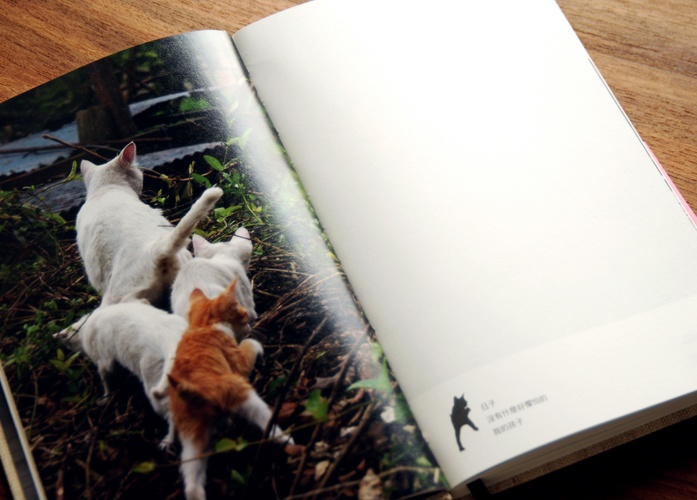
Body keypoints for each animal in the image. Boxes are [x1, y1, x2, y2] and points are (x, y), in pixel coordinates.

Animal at [55, 299, 187, 449]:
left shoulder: (103, 362)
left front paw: (105, 399)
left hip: (152, 380)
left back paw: (168, 441)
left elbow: (107, 384)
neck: (84, 327)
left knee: (172, 415)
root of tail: (173, 340)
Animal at [163, 279, 290, 500]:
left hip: (193, 435)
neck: (201, 325)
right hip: (240, 392)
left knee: (192, 481)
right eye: (243, 313)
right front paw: (255, 343)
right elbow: (249, 344)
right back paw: (286, 440)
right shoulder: (238, 364)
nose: (248, 322)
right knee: (266, 421)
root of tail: (190, 390)